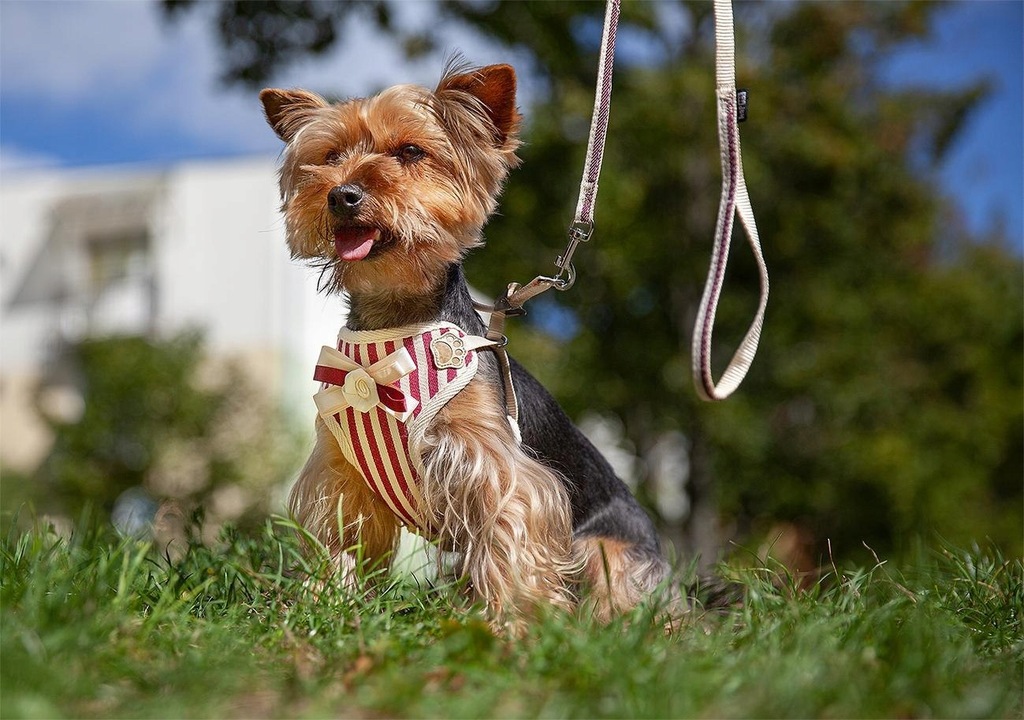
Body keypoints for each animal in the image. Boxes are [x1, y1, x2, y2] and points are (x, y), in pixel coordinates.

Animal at [262, 60, 671, 626]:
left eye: (411, 152)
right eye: (330, 157)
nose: (342, 194)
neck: (396, 321)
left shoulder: (498, 468)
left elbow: (509, 537)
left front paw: (510, 626)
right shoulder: (343, 474)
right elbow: (340, 540)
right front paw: (324, 609)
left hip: (606, 549)